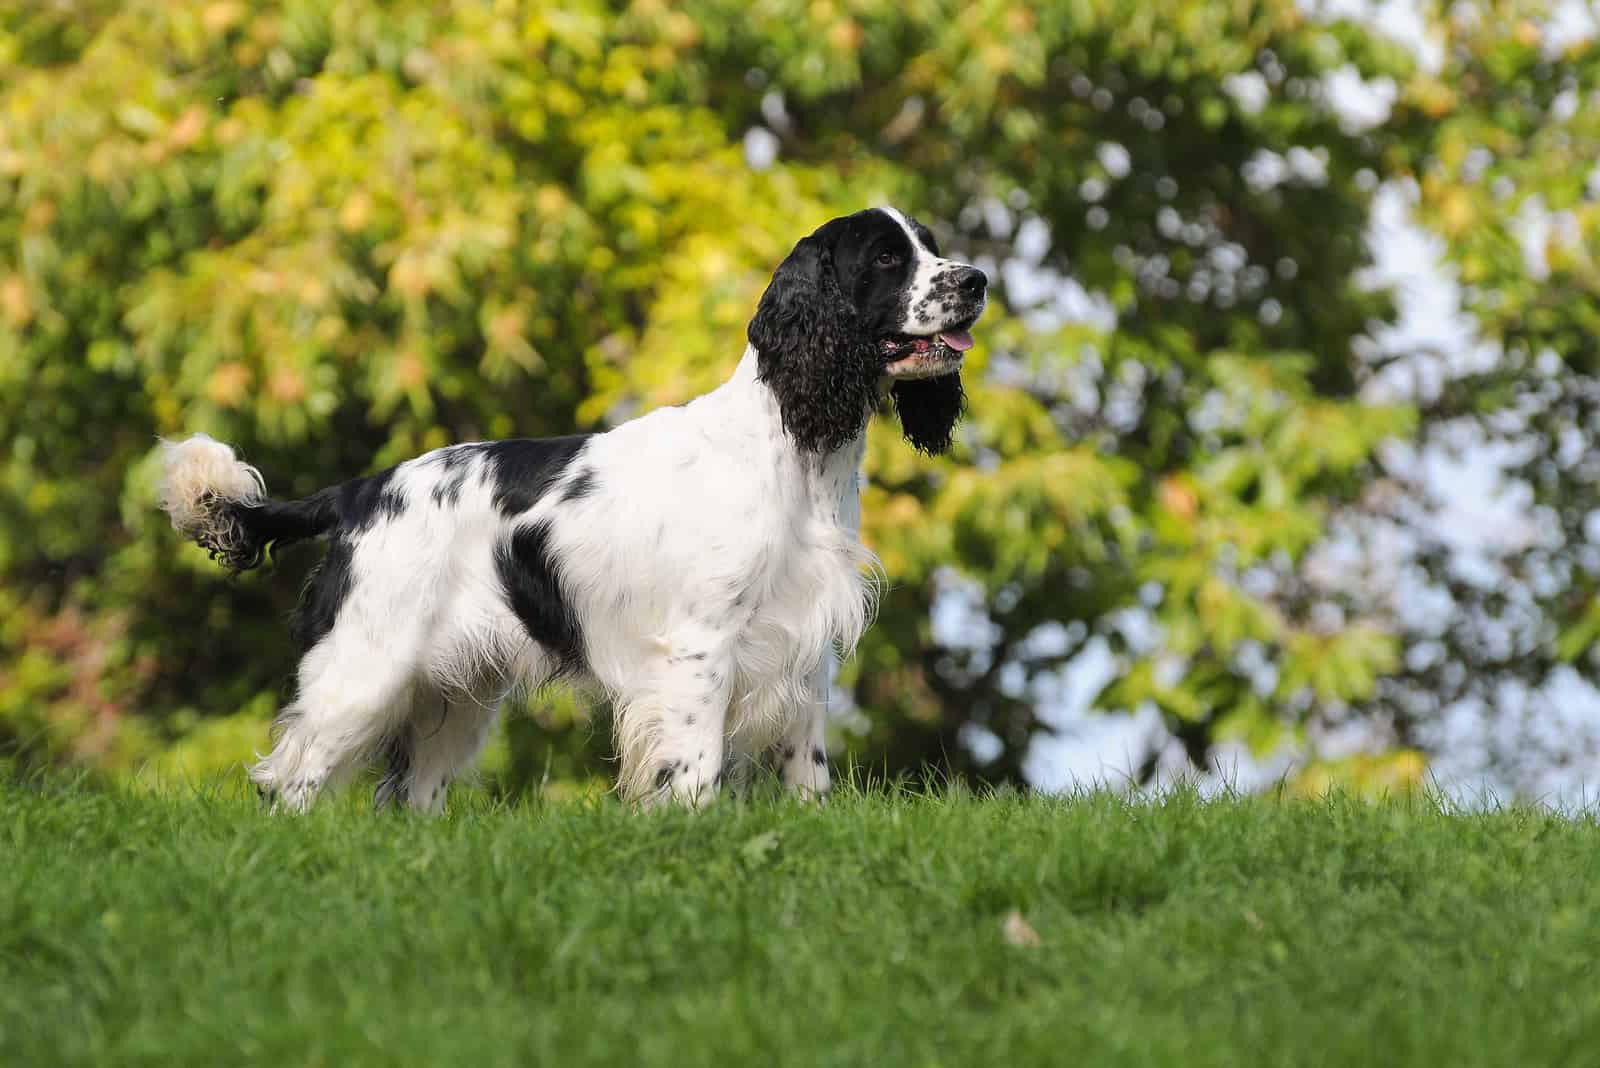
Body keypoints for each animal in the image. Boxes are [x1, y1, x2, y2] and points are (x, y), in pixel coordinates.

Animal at [165, 206, 985, 808]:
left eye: (931, 246)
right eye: (886, 258)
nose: (978, 280)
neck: (793, 451)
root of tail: (359, 492)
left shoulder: (806, 648)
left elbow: (807, 770)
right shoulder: (699, 646)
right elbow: (695, 769)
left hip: (453, 696)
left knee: (409, 796)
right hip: (364, 668)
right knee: (287, 783)